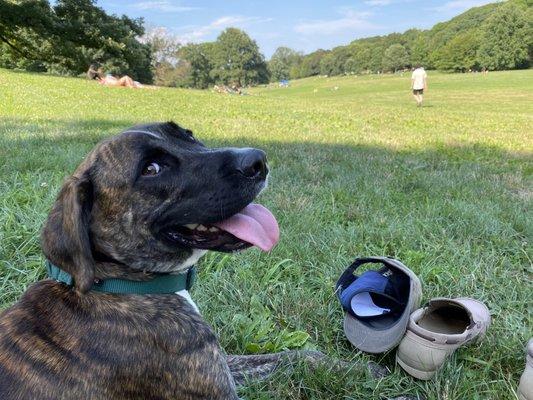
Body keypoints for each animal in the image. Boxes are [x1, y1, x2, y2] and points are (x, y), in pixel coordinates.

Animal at [0, 122, 328, 400]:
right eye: (152, 169)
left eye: (190, 136)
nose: (258, 160)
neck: (118, 283)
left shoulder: (223, 365)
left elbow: (283, 358)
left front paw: (324, 360)